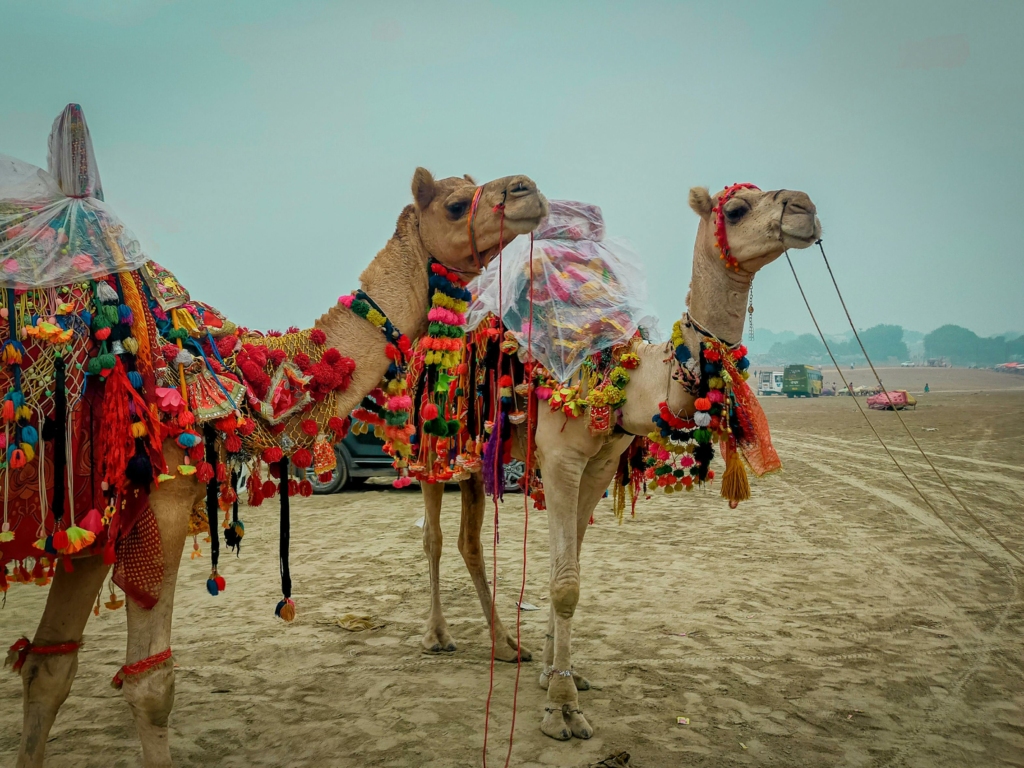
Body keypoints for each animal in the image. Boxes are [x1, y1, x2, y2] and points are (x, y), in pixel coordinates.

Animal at [4, 105, 548, 765]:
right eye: (455, 203)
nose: (527, 188)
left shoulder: (89, 518)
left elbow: (49, 670)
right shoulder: (161, 493)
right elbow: (150, 685)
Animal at [411, 183, 819, 741]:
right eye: (736, 209)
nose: (804, 208)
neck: (629, 378)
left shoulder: (601, 464)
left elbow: (569, 566)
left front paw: (555, 673)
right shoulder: (560, 458)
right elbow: (565, 584)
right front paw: (562, 708)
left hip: (478, 455)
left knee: (468, 542)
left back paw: (508, 646)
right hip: (435, 439)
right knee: (432, 537)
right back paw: (437, 636)